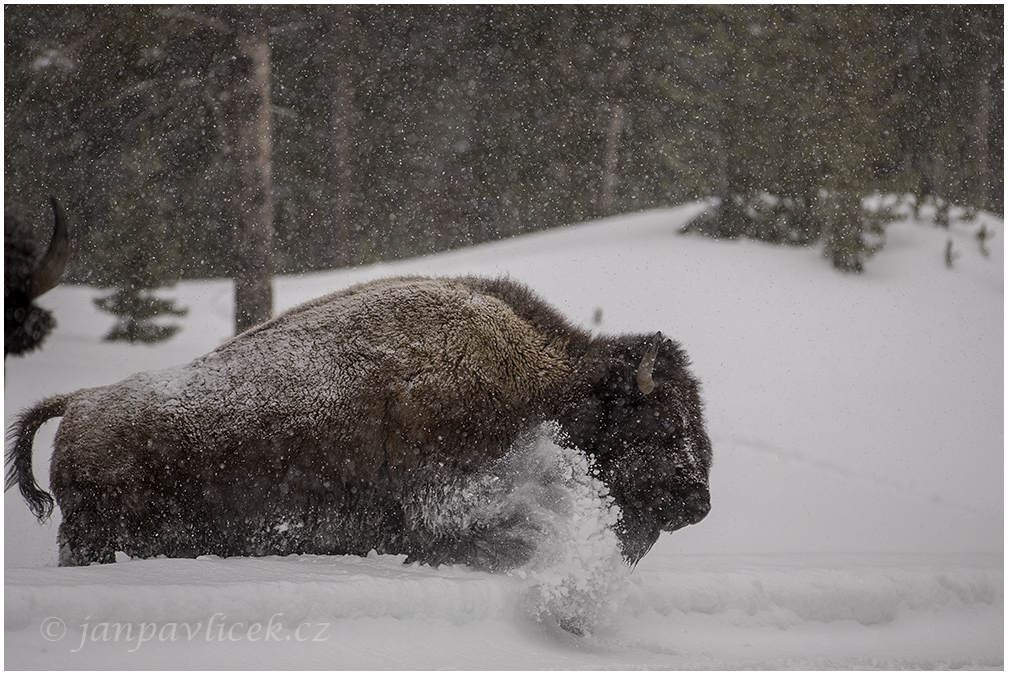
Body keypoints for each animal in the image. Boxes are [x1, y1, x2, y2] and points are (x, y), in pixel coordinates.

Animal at [5, 274, 710, 573]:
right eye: (662, 426)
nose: (697, 504)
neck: (546, 381)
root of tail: (79, 403)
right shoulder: (444, 501)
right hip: (93, 534)